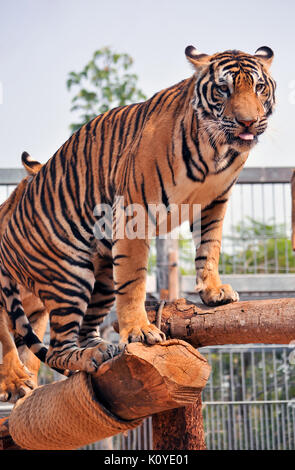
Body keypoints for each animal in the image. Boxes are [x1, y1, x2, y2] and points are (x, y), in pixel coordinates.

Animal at [0, 44, 278, 382]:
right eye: (223, 89)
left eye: (259, 87)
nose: (248, 122)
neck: (215, 152)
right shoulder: (135, 212)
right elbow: (133, 280)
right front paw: (140, 332)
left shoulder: (214, 202)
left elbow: (209, 248)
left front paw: (213, 291)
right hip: (69, 275)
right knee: (57, 348)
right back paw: (91, 355)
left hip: (102, 278)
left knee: (84, 331)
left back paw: (102, 348)